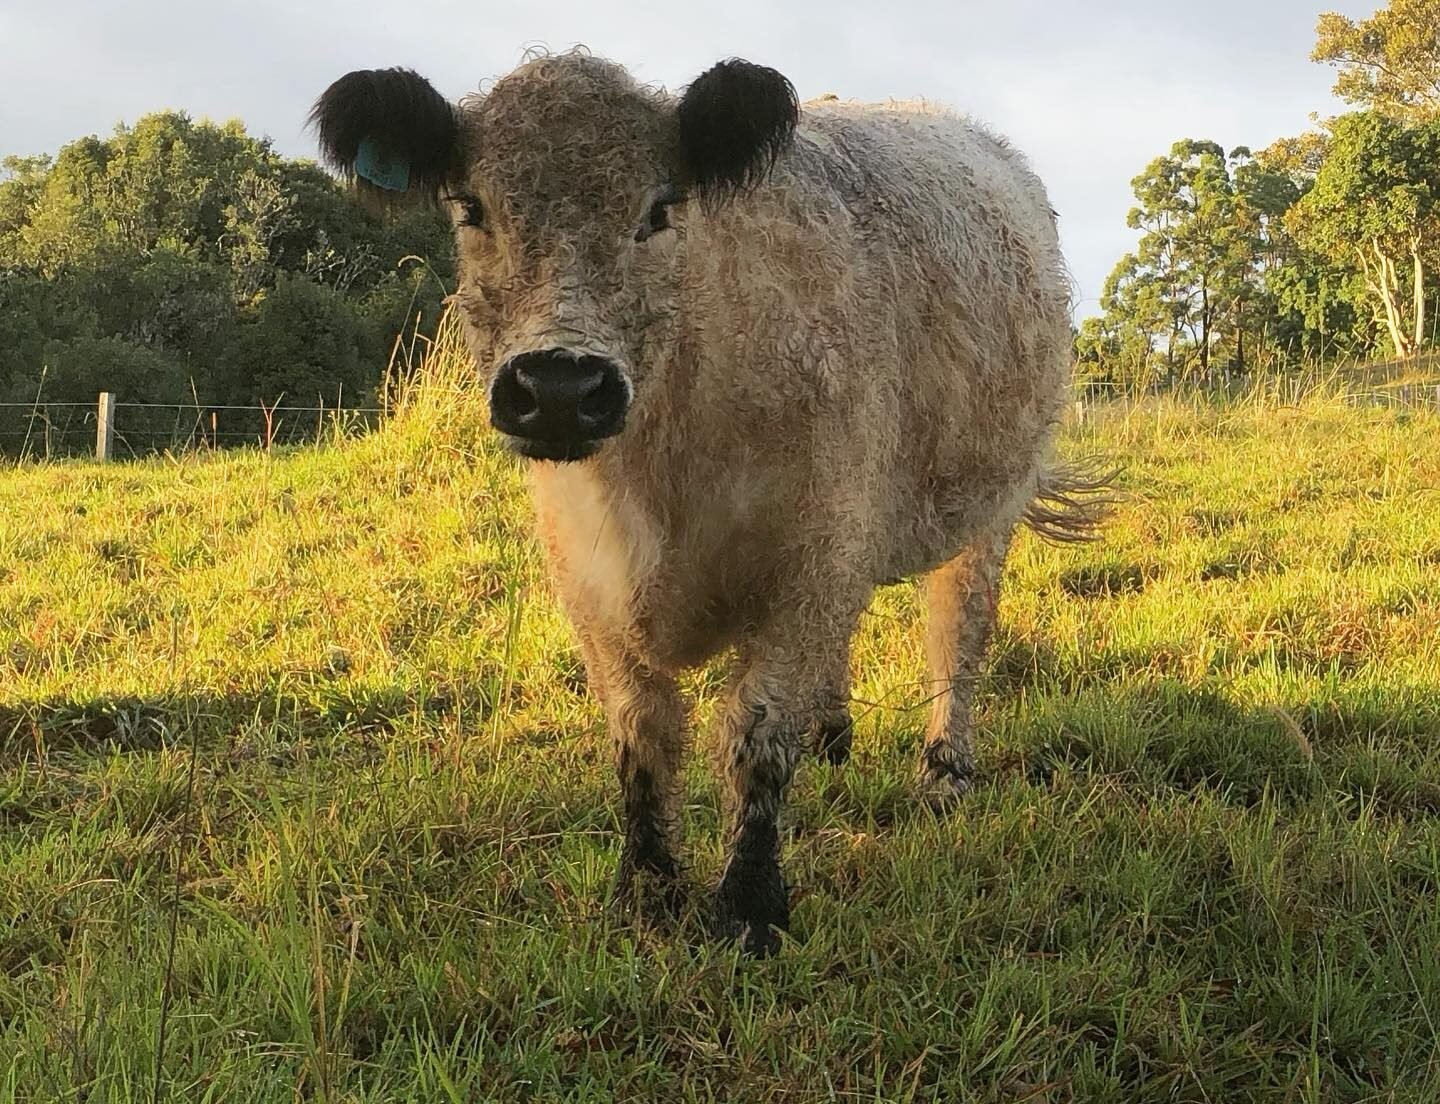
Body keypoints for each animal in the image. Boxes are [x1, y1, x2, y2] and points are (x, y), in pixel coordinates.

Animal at [311, 50, 1110, 956]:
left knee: (957, 634)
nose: (559, 389)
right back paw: (833, 735)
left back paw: (944, 774)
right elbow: (643, 734)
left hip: (988, 504)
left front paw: (749, 904)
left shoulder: (807, 559)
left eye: (660, 208)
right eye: (472, 205)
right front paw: (647, 893)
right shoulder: (588, 584)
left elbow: (756, 733)